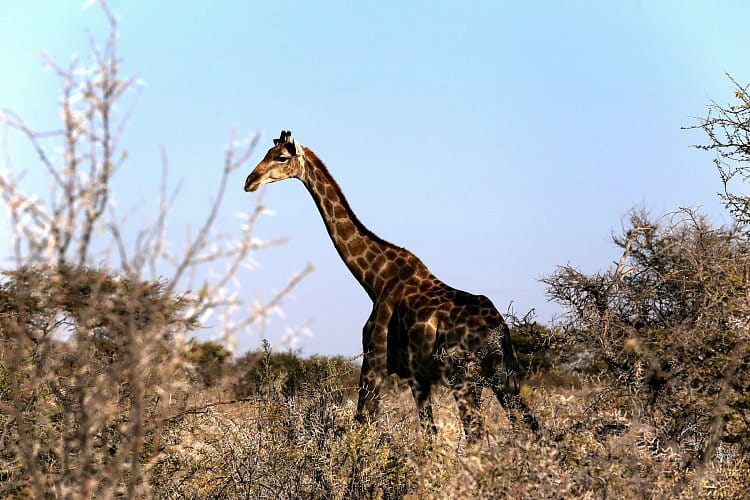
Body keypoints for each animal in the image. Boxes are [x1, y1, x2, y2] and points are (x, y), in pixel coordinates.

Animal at [247, 131, 540, 440]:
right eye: (267, 152)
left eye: (281, 157)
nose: (250, 181)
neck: (375, 279)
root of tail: (498, 330)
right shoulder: (417, 376)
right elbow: (427, 433)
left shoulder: (375, 364)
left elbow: (366, 422)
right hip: (504, 376)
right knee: (529, 427)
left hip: (465, 378)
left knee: (478, 435)